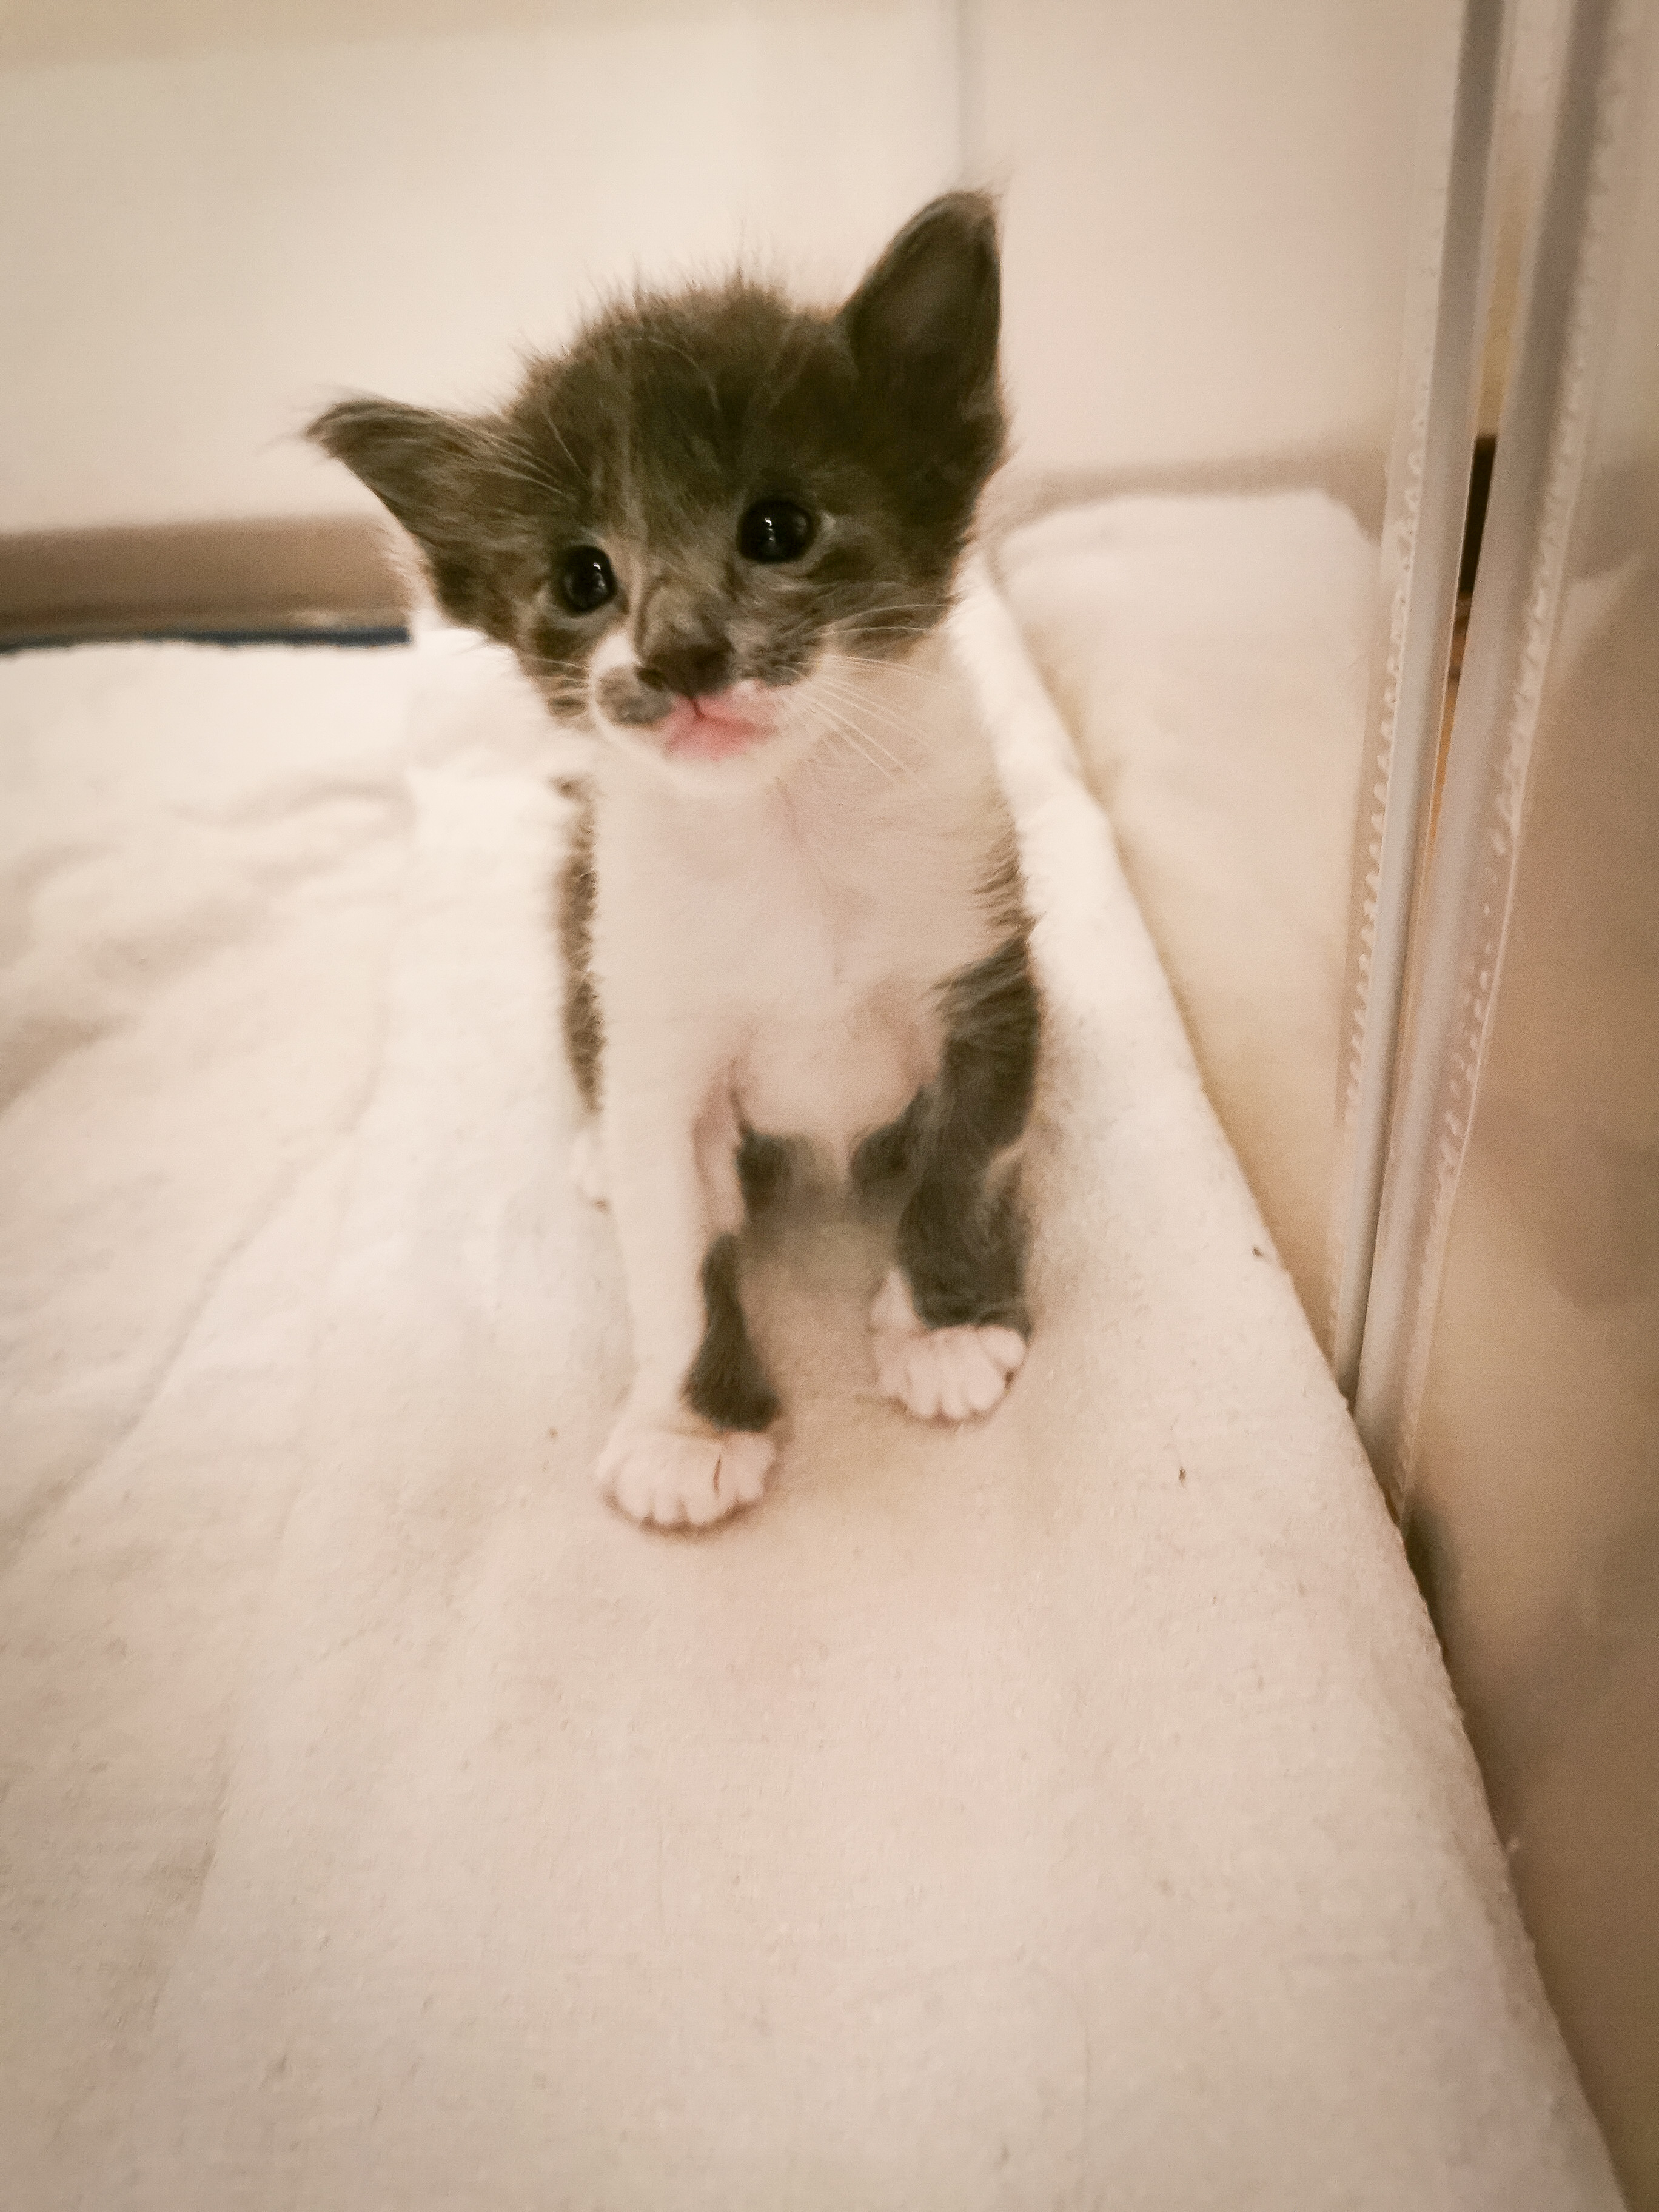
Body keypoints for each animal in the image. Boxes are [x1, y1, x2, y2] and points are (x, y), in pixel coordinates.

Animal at [309, 191, 1038, 1529]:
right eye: (582, 576)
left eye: (779, 527)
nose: (681, 651)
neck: (783, 824)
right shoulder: (655, 1032)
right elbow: (674, 1253)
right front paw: (690, 1430)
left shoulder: (985, 960)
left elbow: (970, 1158)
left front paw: (947, 1328)